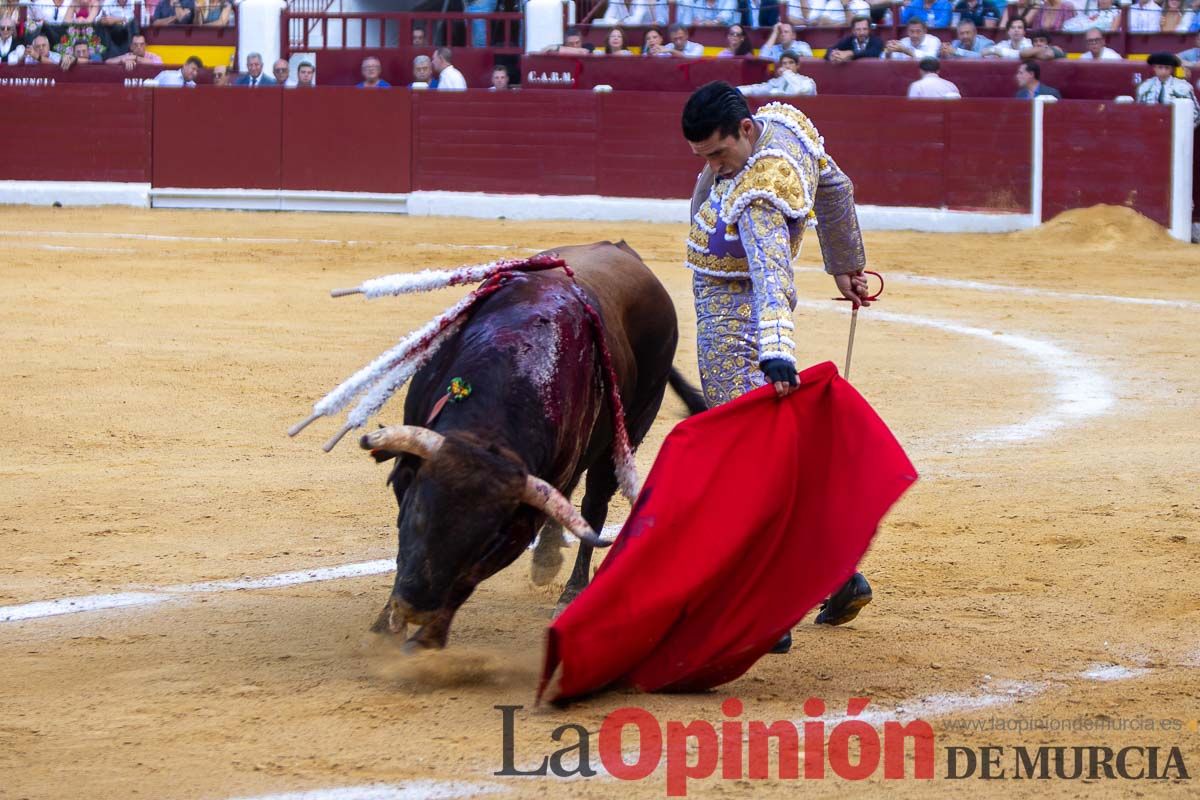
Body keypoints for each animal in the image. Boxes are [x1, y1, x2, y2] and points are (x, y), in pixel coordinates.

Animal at [362, 241, 700, 647]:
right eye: (419, 514)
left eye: (487, 540)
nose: (416, 608)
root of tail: (622, 249)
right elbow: (404, 551)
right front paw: (385, 624)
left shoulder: (521, 520)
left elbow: (468, 579)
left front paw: (426, 639)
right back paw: (547, 559)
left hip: (630, 429)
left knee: (593, 505)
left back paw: (570, 591)